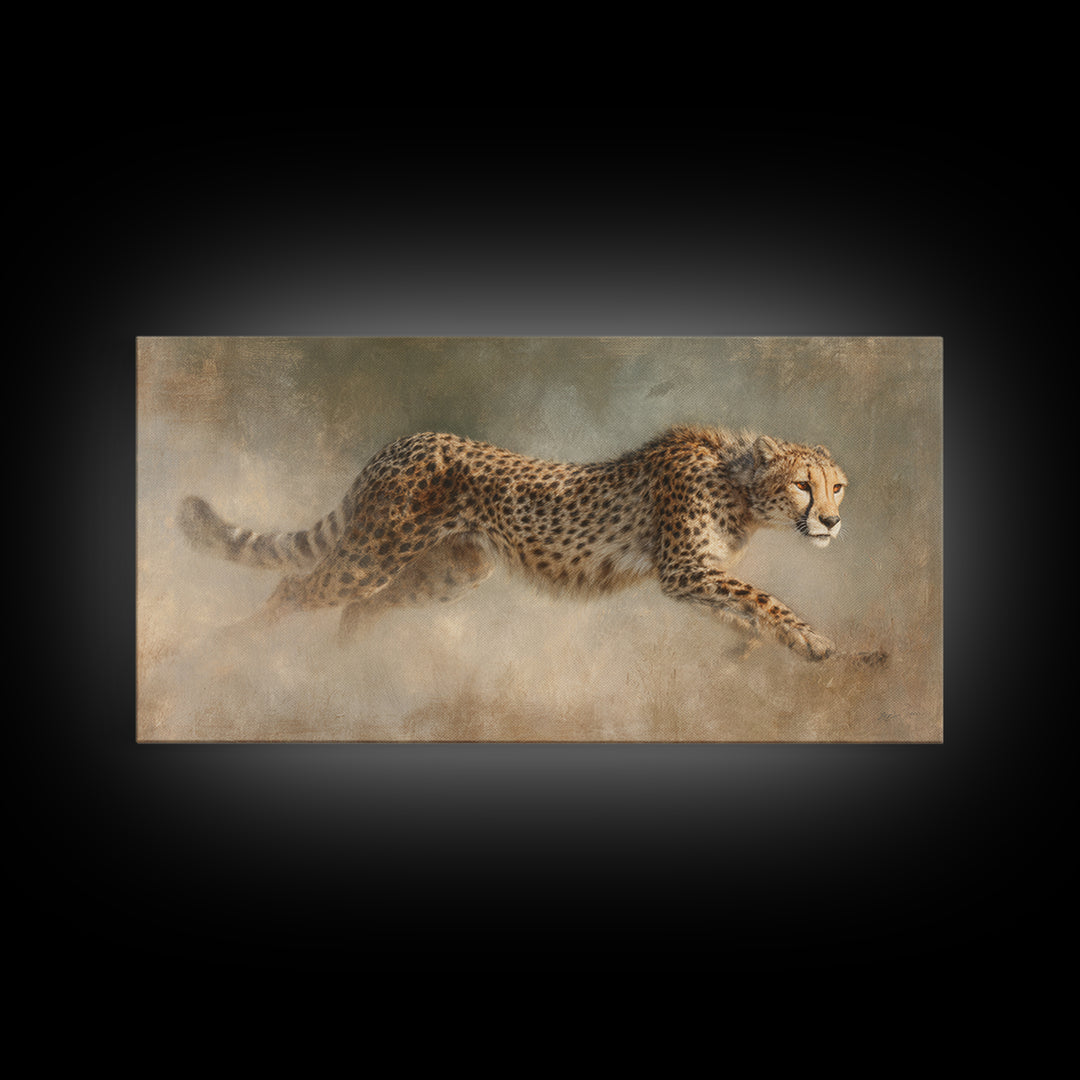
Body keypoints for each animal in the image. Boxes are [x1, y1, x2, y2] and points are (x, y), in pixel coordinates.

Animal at [178, 426, 887, 664]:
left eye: (838, 487)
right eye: (803, 485)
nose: (831, 522)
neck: (738, 484)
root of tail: (405, 440)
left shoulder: (697, 578)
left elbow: (745, 610)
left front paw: (790, 650)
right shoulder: (685, 570)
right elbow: (763, 598)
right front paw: (817, 642)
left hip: (453, 571)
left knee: (362, 607)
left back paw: (342, 670)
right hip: (375, 553)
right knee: (295, 587)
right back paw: (227, 650)